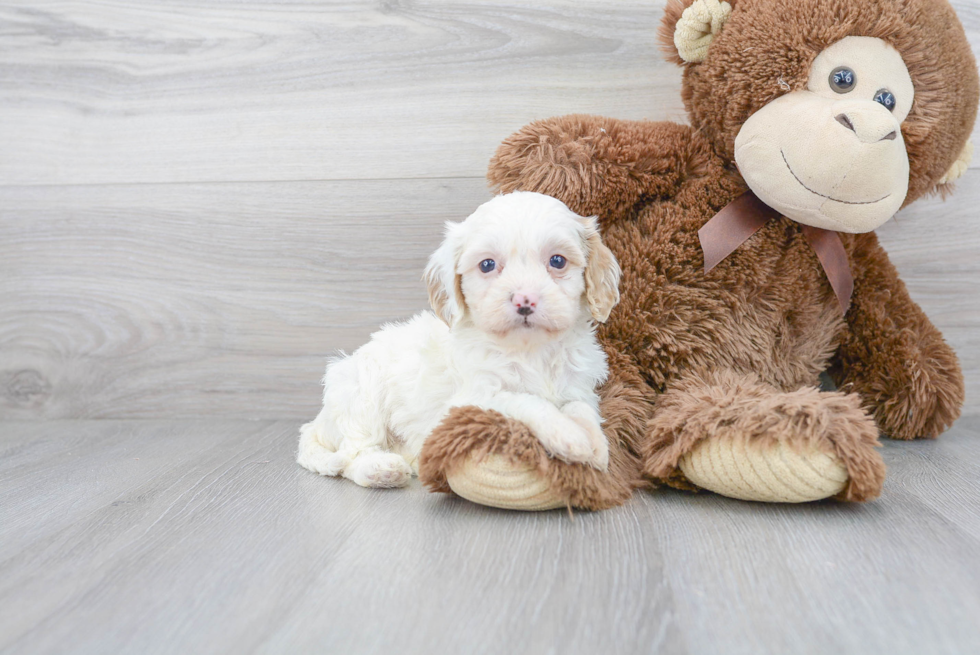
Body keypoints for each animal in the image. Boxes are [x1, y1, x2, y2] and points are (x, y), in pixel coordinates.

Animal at [296, 190, 620, 486]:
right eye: (487, 265)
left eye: (557, 261)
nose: (524, 300)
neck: (530, 350)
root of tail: (318, 421)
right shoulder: (472, 400)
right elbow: (523, 400)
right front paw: (568, 436)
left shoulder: (578, 387)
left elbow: (581, 408)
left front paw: (597, 445)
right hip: (359, 394)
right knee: (353, 454)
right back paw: (381, 470)